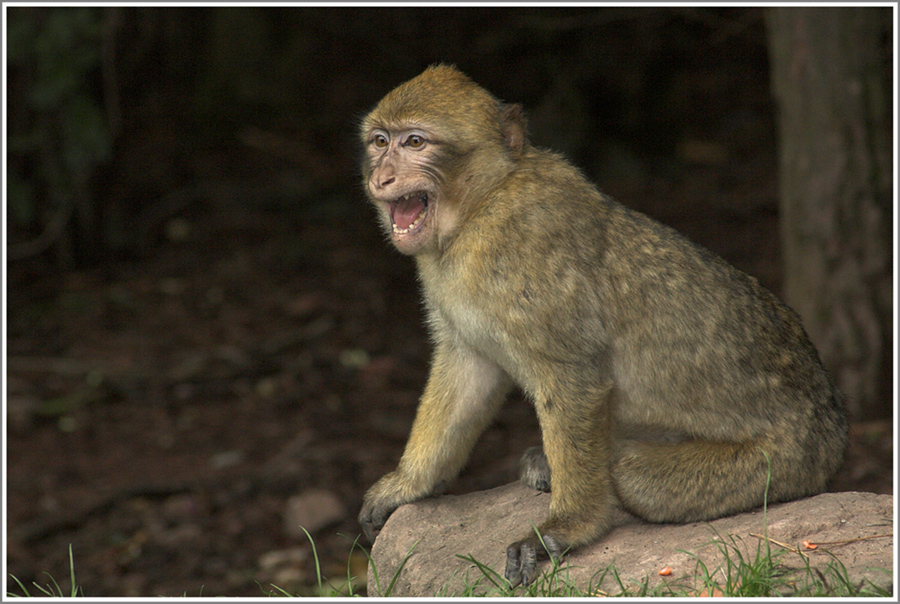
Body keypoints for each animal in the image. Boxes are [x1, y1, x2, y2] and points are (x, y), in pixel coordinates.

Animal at [356, 65, 848, 584]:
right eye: (379, 141)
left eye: (415, 142)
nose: (381, 176)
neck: (479, 206)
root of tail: (834, 426)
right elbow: (471, 370)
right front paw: (409, 485)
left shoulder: (526, 255)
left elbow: (574, 378)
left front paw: (568, 527)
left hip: (783, 461)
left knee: (631, 473)